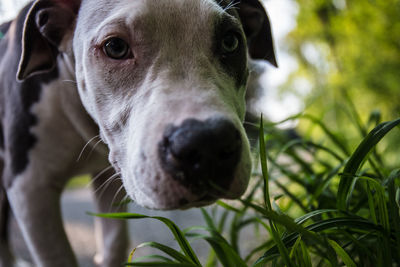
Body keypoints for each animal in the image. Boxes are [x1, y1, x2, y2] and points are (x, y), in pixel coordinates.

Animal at [0, 0, 276, 266]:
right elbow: (58, 257)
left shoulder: (108, 179)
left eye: (231, 41)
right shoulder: (30, 187)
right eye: (115, 47)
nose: (207, 143)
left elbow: (115, 243)